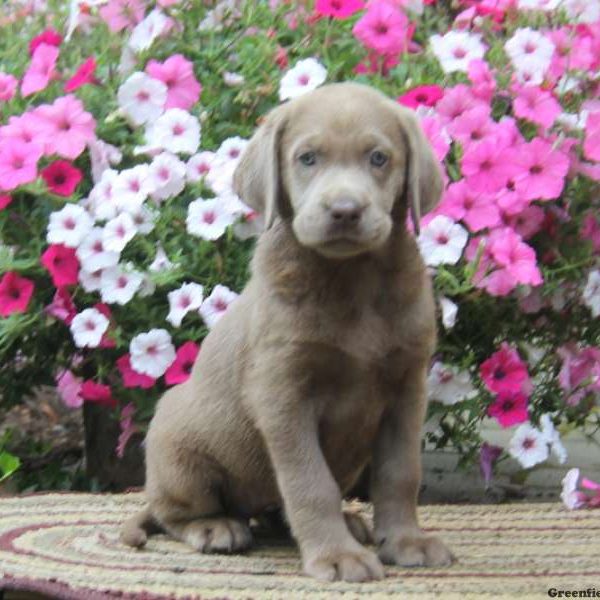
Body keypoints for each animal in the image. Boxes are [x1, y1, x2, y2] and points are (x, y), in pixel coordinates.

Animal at [120, 83, 454, 580]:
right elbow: (309, 482)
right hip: (177, 443)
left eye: (379, 158)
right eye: (307, 158)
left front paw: (406, 541)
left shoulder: (407, 388)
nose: (345, 211)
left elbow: (400, 473)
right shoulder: (283, 394)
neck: (350, 279)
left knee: (276, 512)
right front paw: (336, 556)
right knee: (172, 512)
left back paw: (348, 523)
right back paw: (215, 527)